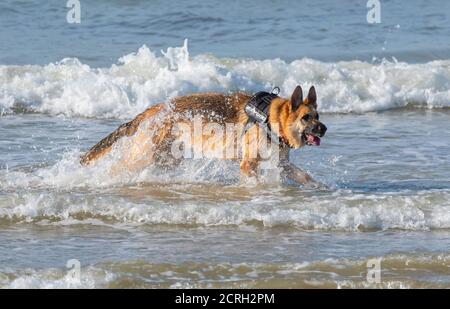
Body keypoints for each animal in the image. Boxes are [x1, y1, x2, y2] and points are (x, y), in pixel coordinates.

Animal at [80, 85, 326, 185]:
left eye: (318, 115)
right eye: (306, 118)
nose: (324, 129)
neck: (271, 119)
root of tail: (156, 108)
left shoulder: (283, 165)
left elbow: (306, 177)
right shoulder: (249, 165)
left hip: (166, 160)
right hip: (144, 156)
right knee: (116, 167)